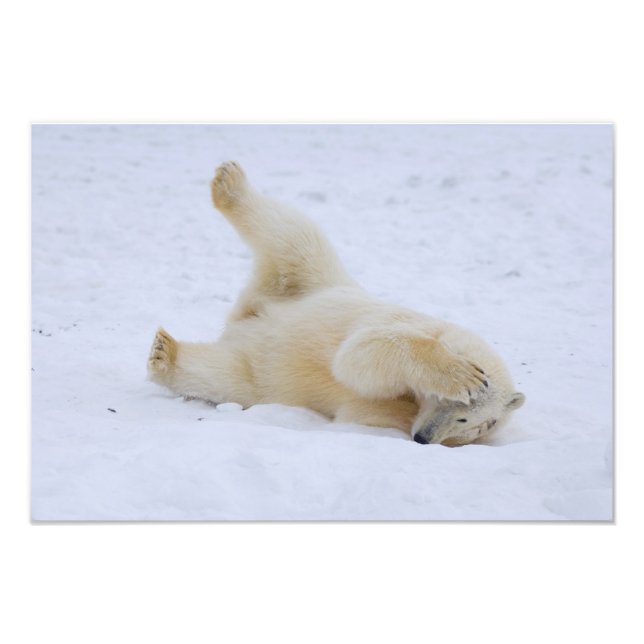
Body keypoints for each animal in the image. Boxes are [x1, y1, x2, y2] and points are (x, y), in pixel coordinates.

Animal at [147, 161, 525, 446]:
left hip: (259, 371)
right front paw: (464, 374)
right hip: (314, 279)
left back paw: (166, 354)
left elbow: (363, 406)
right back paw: (230, 183)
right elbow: (362, 352)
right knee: (293, 234)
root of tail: (249, 313)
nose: (424, 438)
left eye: (475, 424)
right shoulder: (407, 322)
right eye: (459, 406)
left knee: (223, 375)